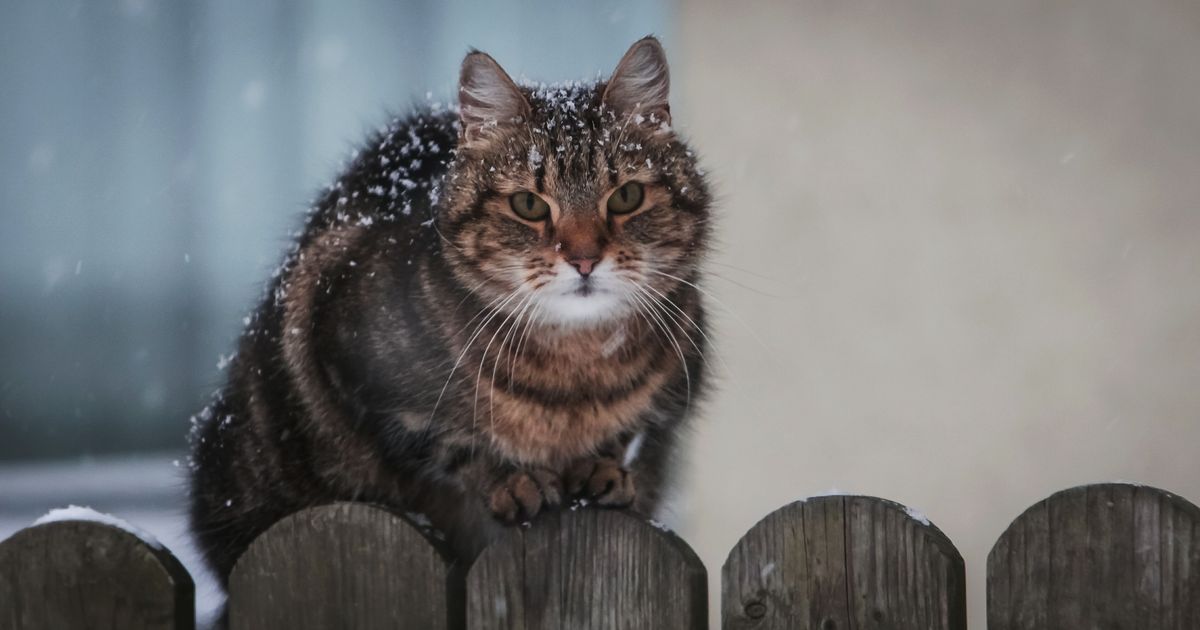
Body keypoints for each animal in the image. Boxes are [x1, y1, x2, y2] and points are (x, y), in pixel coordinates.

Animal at [189, 35, 710, 585]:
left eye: (626, 195)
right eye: (528, 204)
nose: (584, 258)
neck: (574, 372)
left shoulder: (679, 380)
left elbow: (629, 428)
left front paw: (601, 467)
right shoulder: (350, 361)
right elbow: (447, 441)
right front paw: (513, 481)